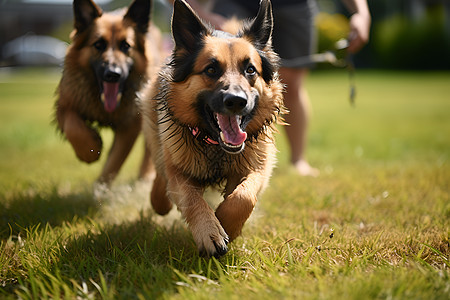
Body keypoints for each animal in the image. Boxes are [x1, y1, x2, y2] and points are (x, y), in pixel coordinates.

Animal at [54, 0, 161, 183]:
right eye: (98, 45)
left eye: (126, 46)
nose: (113, 74)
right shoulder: (64, 104)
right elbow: (72, 126)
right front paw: (88, 149)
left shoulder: (130, 126)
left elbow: (114, 162)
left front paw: (100, 188)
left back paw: (146, 176)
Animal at [142, 0, 284, 258]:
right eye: (211, 69)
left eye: (250, 70)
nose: (236, 101)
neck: (215, 145)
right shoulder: (179, 171)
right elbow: (191, 199)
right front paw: (210, 231)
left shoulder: (258, 166)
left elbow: (243, 197)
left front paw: (226, 223)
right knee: (160, 167)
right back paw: (159, 200)